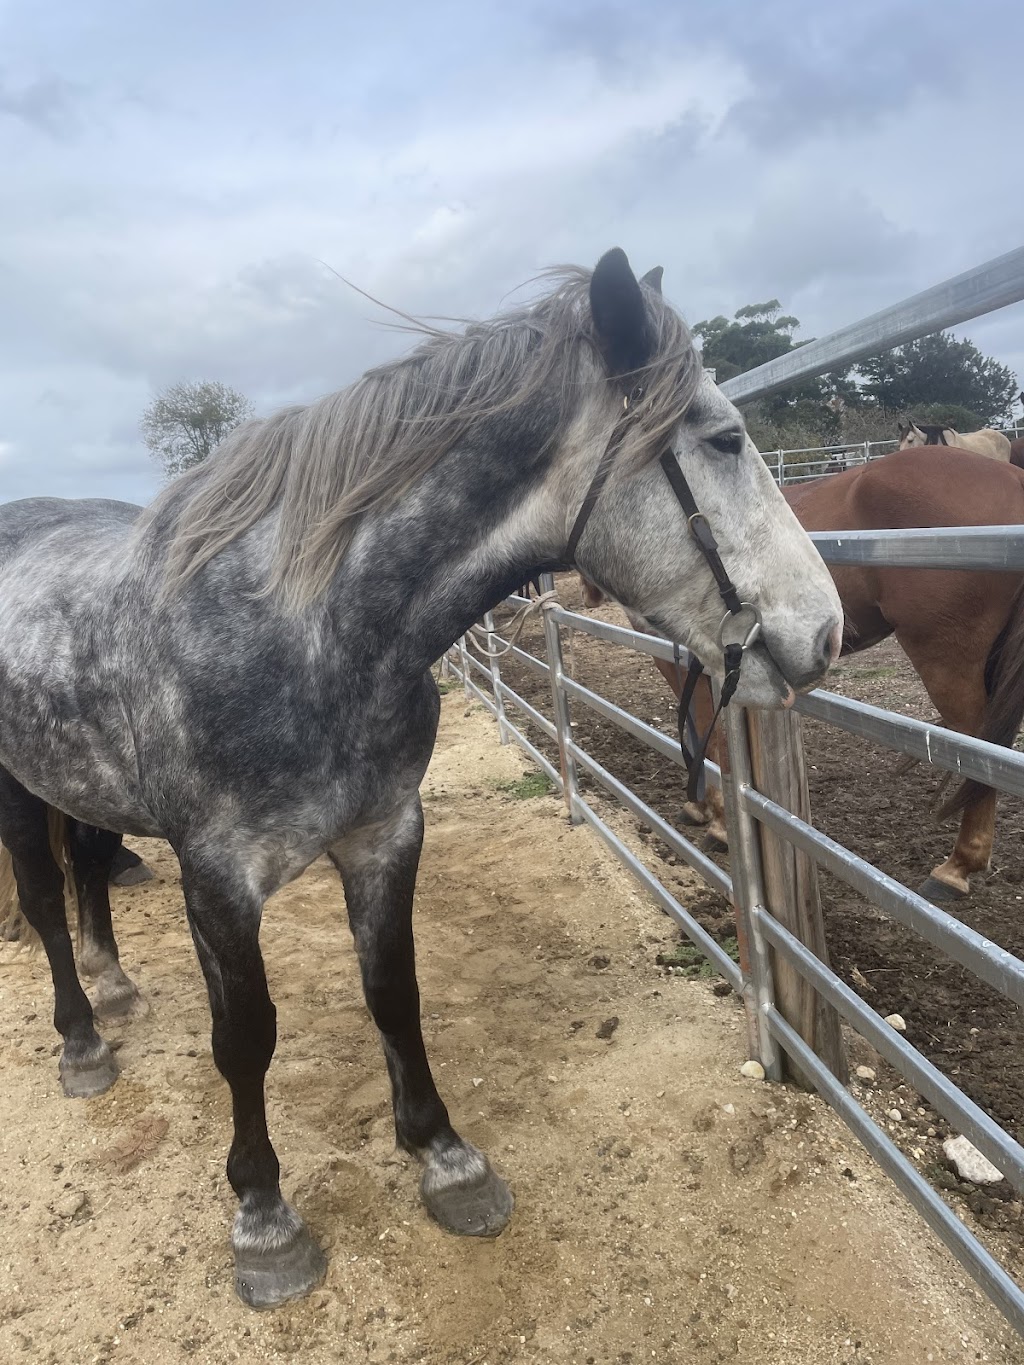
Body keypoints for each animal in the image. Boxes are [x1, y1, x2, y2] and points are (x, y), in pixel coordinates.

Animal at [0, 249, 841, 1309]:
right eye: (725, 439)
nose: (828, 632)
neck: (312, 631)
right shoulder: (218, 878)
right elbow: (246, 1037)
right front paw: (264, 1218)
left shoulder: (385, 833)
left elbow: (393, 991)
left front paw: (445, 1156)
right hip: (17, 784)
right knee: (41, 895)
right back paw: (82, 1040)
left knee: (87, 866)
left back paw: (113, 985)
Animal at [592, 446, 1024, 902]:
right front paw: (700, 806)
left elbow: (712, 732)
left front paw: (720, 823)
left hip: (947, 660)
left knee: (979, 748)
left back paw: (957, 866)